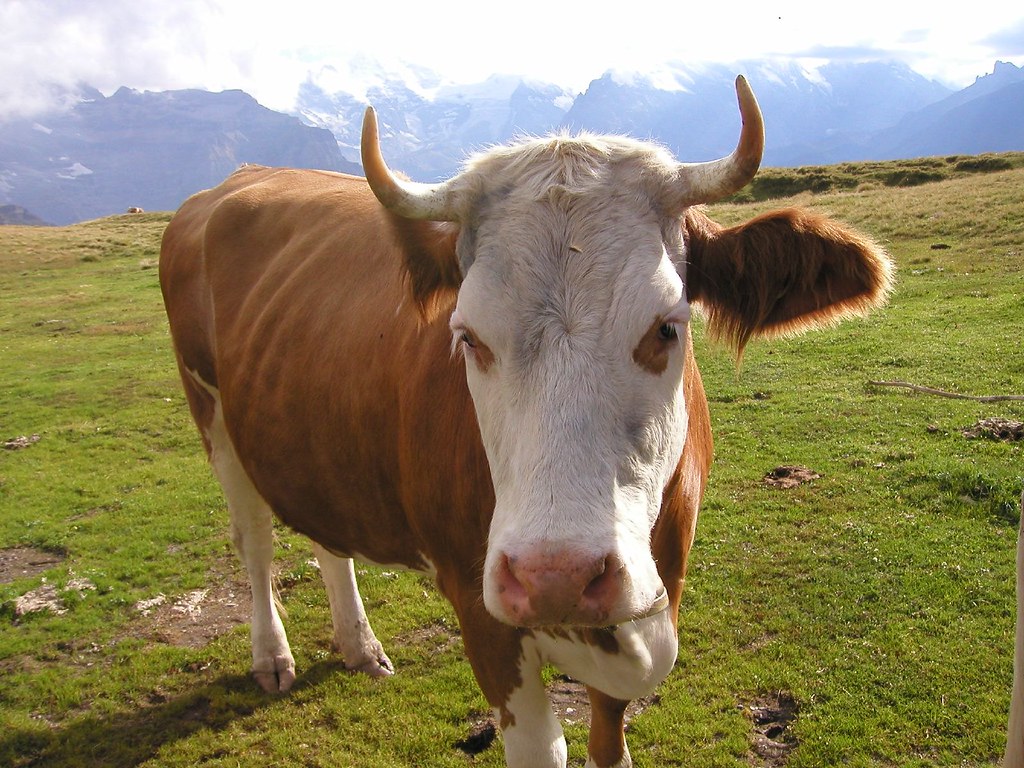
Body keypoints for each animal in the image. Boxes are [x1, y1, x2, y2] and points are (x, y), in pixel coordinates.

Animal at [159, 76, 893, 768]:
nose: (554, 578)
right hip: (210, 411)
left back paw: (359, 645)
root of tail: (235, 182)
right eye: (468, 337)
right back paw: (272, 656)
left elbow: (608, 737)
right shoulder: (480, 606)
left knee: (326, 535)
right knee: (255, 539)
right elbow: (543, 746)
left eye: (666, 328)